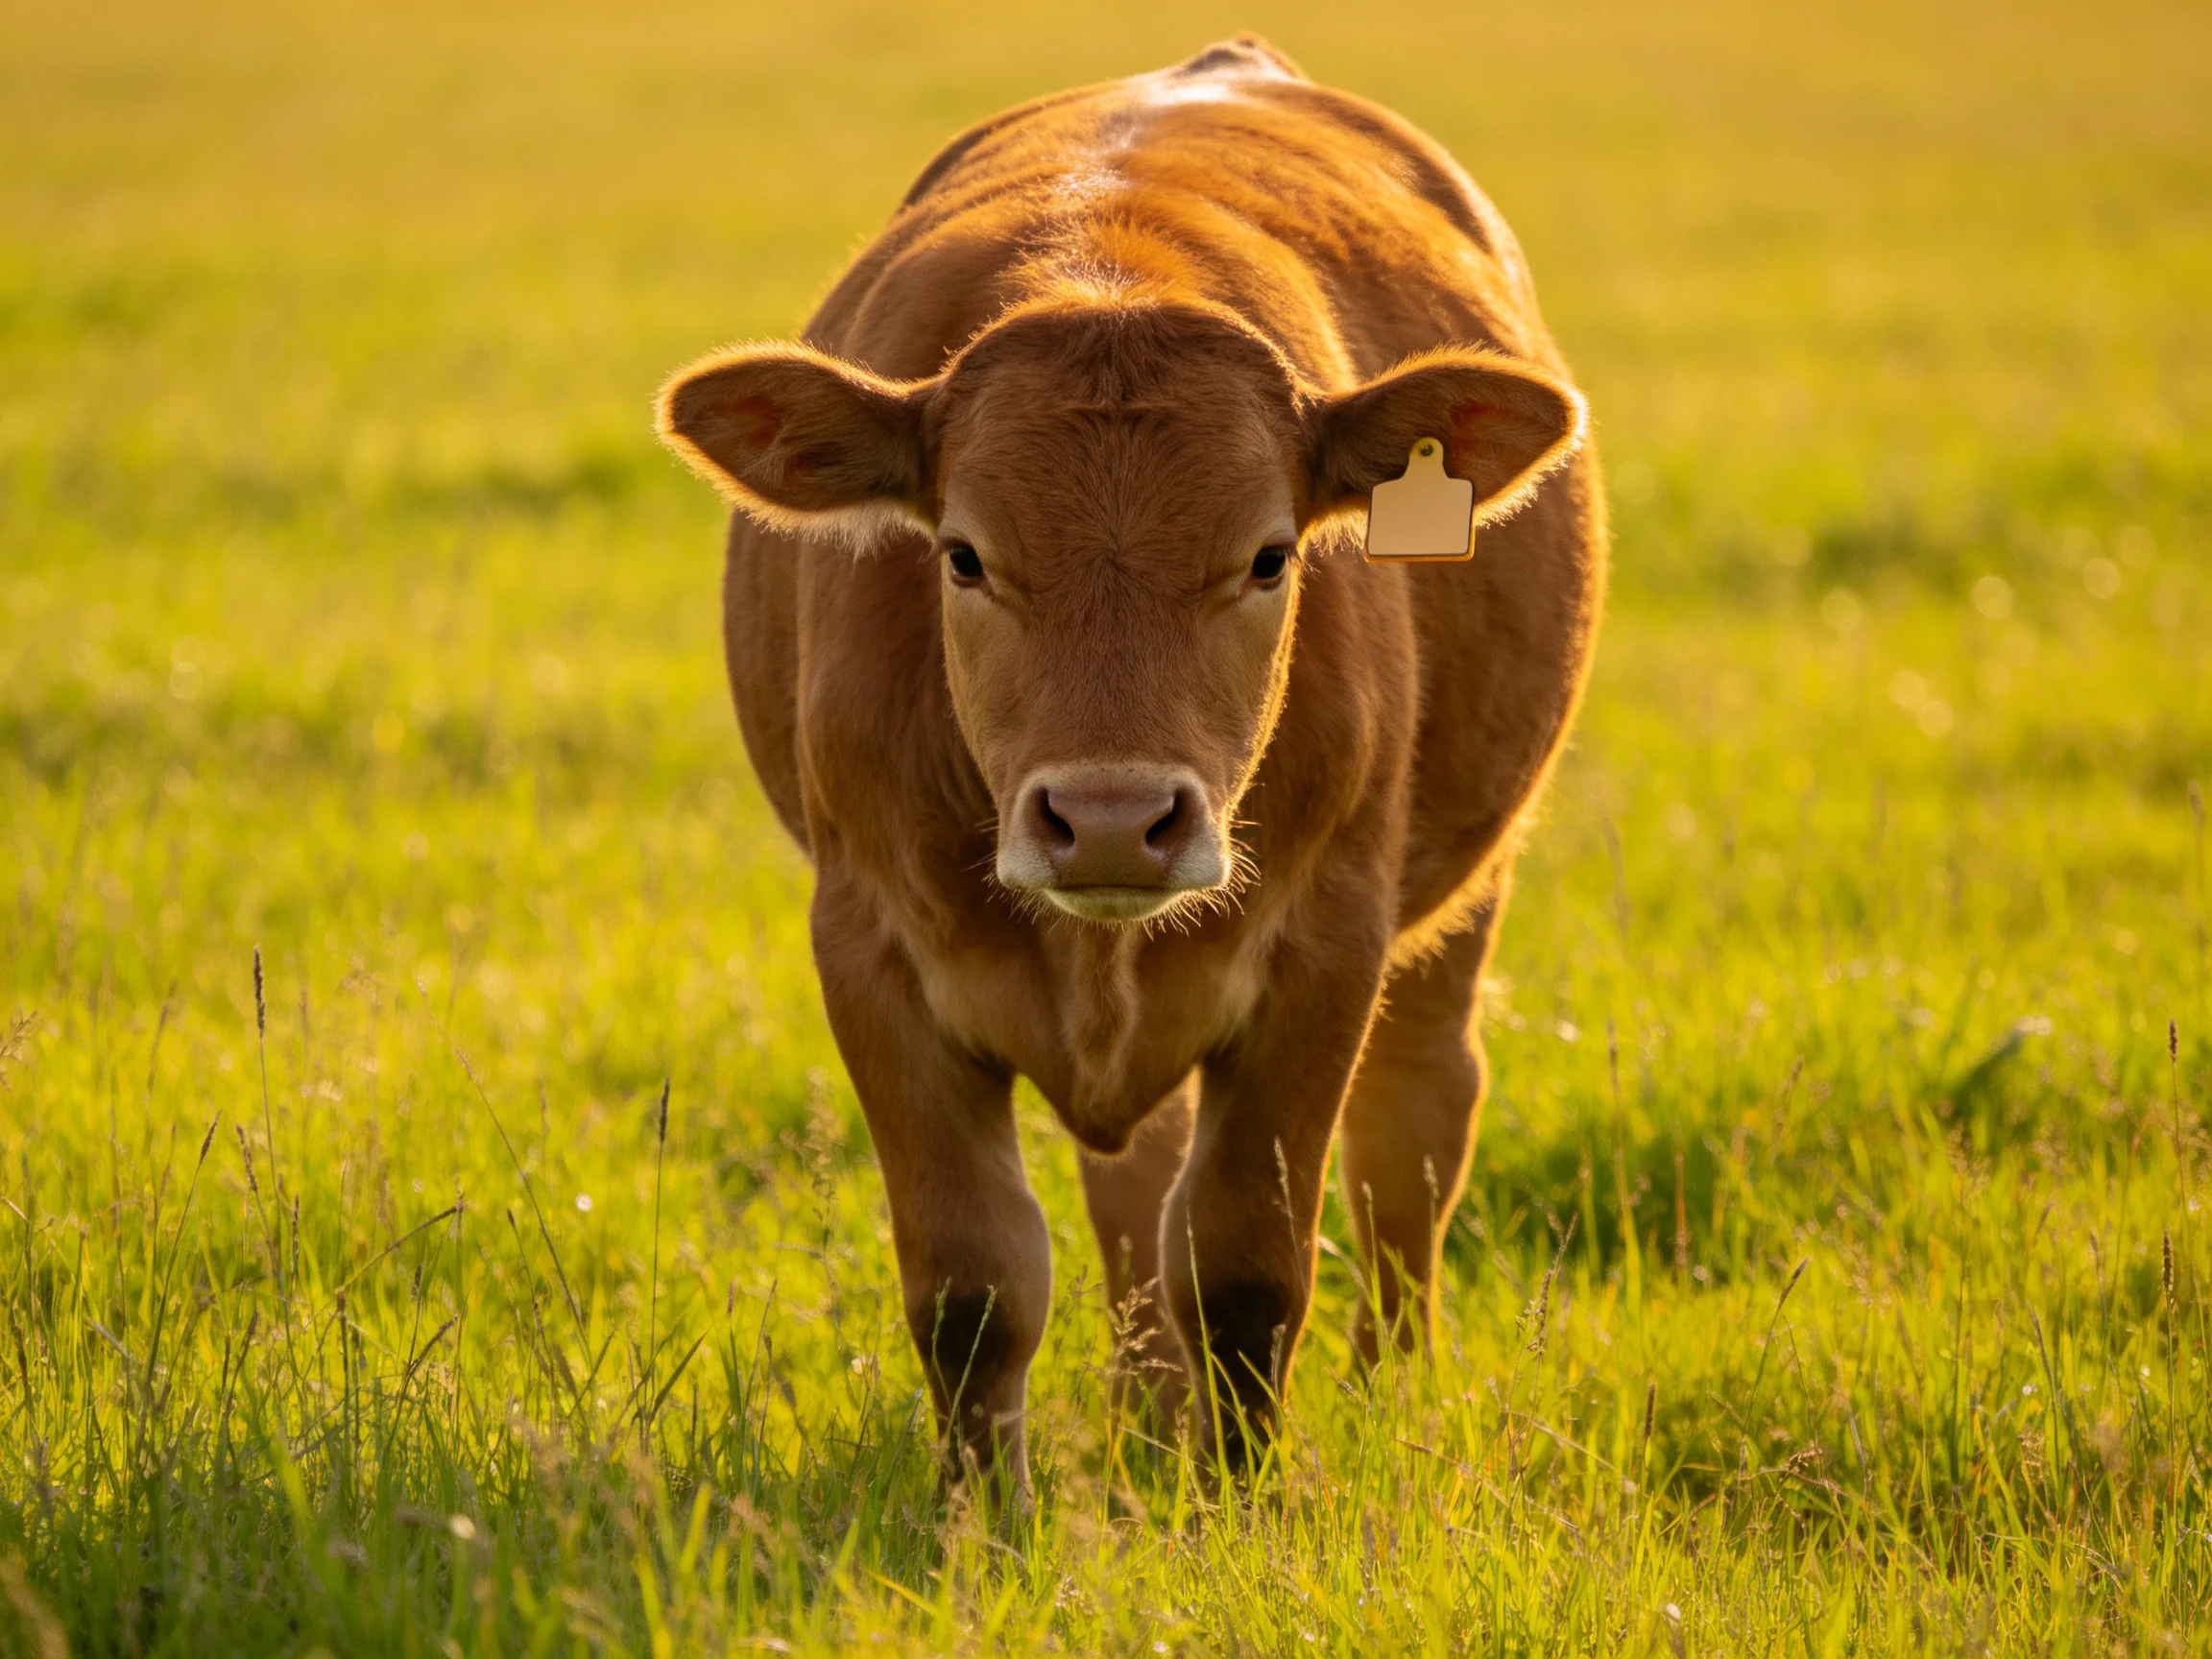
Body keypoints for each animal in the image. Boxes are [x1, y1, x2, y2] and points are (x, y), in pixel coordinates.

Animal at [657, 35, 1604, 1489]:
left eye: (1269, 555)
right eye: (964, 554)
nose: (1110, 820)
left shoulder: (1325, 950)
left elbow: (1248, 1273)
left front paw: (1236, 1510)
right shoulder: (868, 952)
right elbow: (977, 1289)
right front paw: (980, 1518)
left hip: (1463, 894)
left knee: (1414, 1130)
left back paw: (1391, 1392)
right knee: (1135, 1190)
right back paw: (1146, 1415)